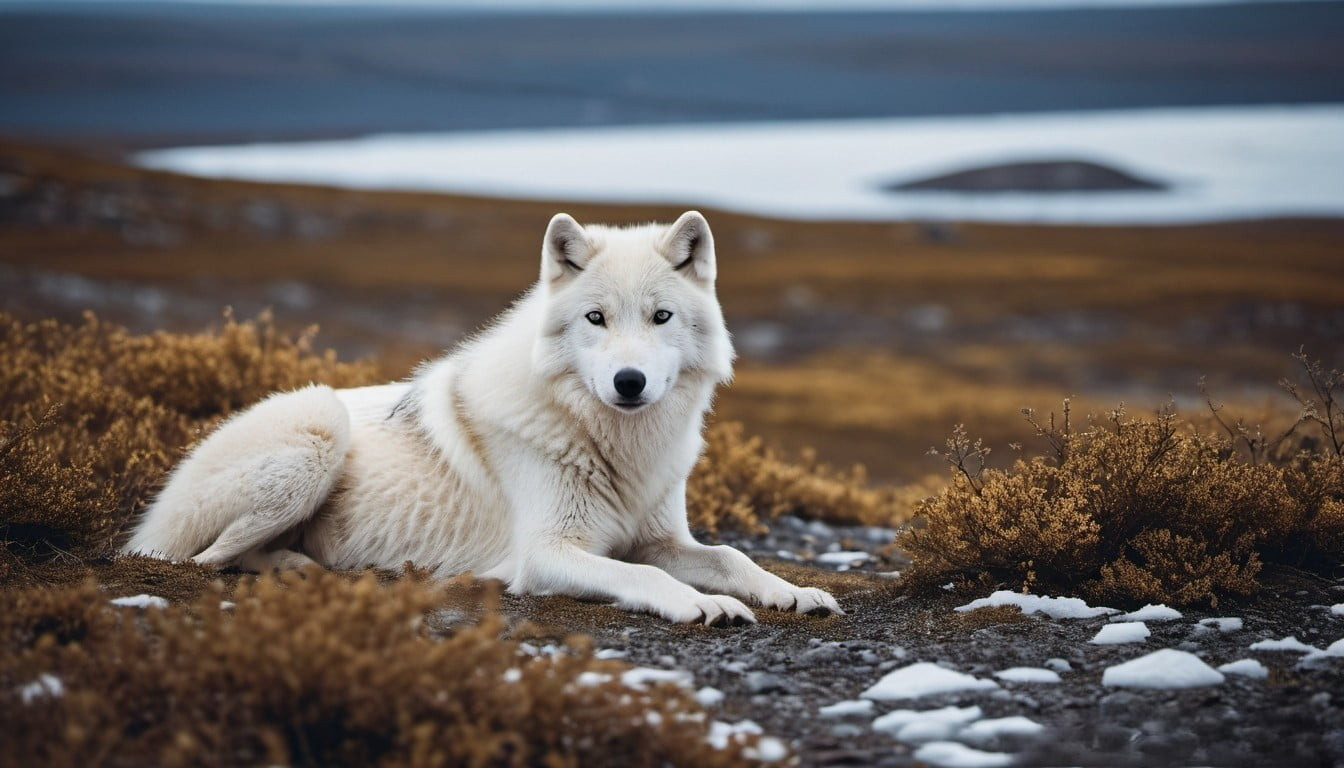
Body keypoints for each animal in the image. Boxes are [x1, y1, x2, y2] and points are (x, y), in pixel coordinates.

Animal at [126, 209, 838, 624]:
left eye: (660, 316)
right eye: (596, 318)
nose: (628, 382)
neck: (613, 442)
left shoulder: (662, 537)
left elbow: (729, 555)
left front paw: (790, 592)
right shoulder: (546, 553)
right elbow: (640, 575)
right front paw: (700, 603)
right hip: (320, 425)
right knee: (208, 559)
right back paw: (301, 569)